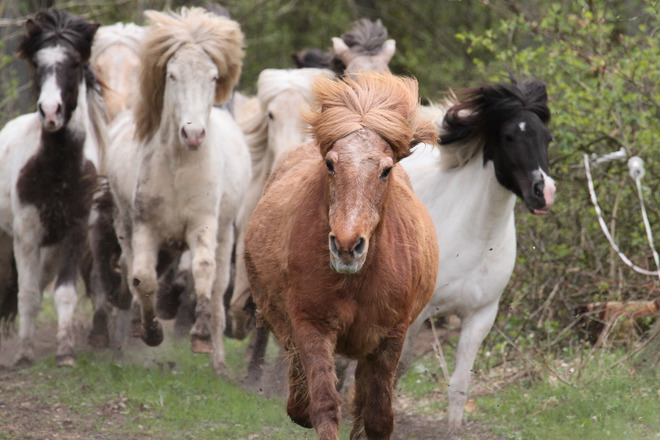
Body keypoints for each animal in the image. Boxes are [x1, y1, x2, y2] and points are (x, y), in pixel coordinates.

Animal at [0, 11, 107, 368]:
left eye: (74, 63)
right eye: (37, 62)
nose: (50, 112)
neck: (59, 171)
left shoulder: (74, 230)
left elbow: (64, 292)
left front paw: (65, 352)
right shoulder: (26, 233)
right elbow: (29, 294)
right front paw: (23, 354)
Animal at [105, 7, 250, 374]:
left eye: (213, 78)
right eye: (172, 75)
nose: (193, 134)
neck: (179, 167)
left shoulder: (203, 224)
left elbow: (203, 270)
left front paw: (200, 335)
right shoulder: (146, 227)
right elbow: (143, 278)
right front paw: (151, 331)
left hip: (225, 234)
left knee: (217, 286)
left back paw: (219, 362)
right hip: (125, 226)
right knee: (133, 272)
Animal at [245, 72, 440, 440]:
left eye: (385, 170)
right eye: (331, 164)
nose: (347, 246)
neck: (356, 283)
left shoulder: (390, 336)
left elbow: (377, 417)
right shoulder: (312, 325)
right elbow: (323, 405)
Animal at [398, 79, 556, 434]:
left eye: (547, 137)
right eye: (509, 136)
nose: (544, 193)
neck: (477, 237)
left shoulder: (481, 316)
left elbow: (459, 385)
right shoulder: (418, 311)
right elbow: (397, 366)